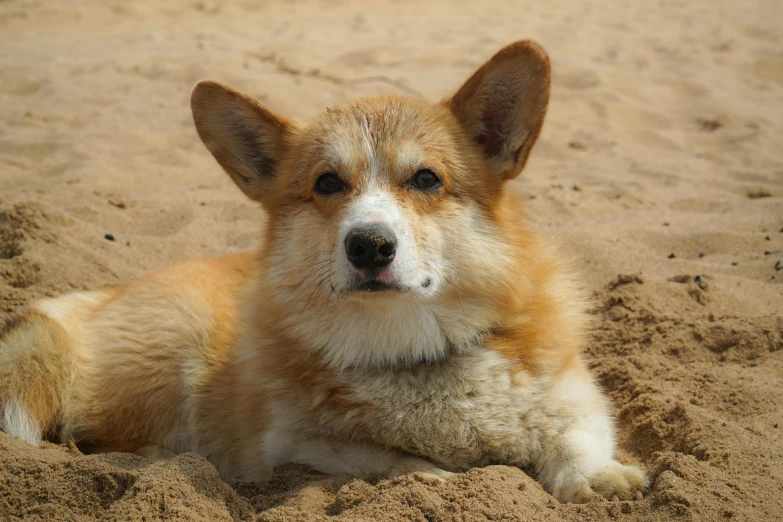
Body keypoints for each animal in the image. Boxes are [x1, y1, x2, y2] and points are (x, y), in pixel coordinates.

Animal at [0, 42, 648, 502]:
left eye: (427, 179)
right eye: (328, 183)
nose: (369, 246)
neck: (413, 350)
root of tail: (86, 301)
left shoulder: (577, 398)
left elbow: (575, 439)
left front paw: (601, 480)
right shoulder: (294, 443)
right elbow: (387, 459)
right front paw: (436, 478)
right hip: (174, 353)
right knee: (100, 438)